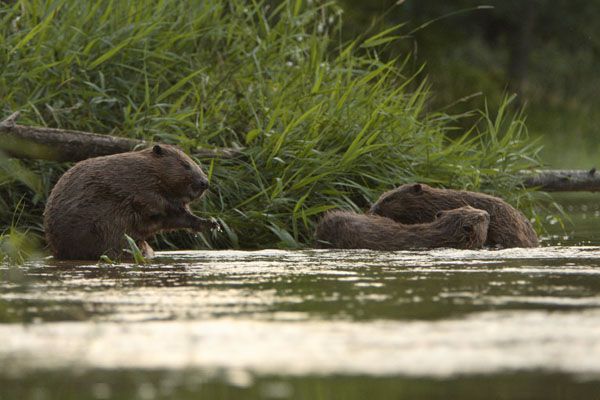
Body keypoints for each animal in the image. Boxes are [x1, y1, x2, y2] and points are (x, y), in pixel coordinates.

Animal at [44, 144, 218, 260]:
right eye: (186, 165)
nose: (205, 182)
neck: (148, 169)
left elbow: (176, 218)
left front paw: (211, 223)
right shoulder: (136, 184)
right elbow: (151, 202)